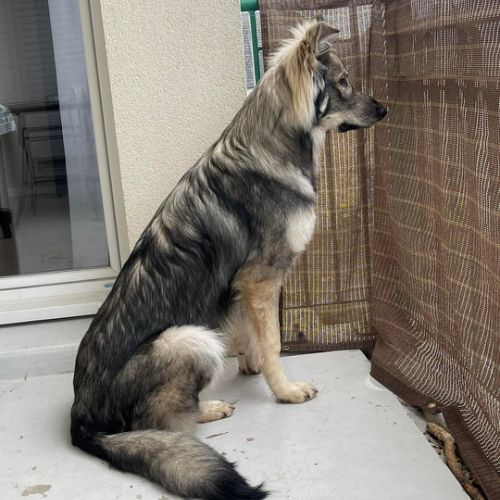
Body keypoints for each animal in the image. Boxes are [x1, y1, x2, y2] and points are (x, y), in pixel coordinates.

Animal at [71, 17, 386, 500]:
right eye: (345, 81)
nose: (385, 110)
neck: (273, 144)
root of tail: (81, 419)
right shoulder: (261, 277)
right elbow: (273, 340)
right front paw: (284, 390)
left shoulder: (243, 285)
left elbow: (253, 331)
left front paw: (252, 364)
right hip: (191, 339)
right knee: (158, 424)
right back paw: (208, 409)